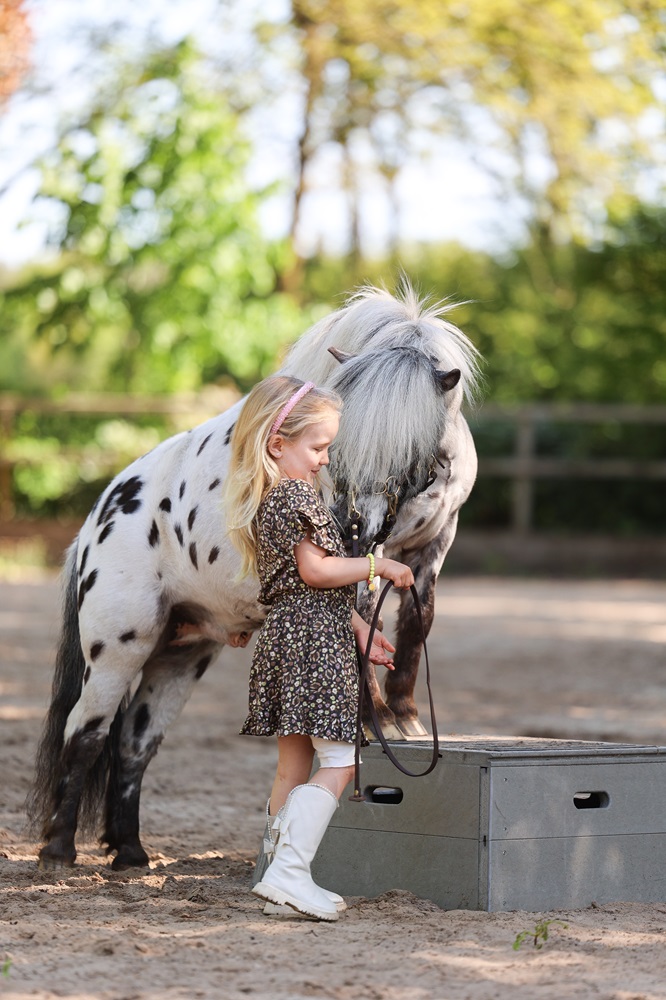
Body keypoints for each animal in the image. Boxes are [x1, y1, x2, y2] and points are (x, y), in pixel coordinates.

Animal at [27, 281, 481, 871]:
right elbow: (358, 626)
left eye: (409, 446)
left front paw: (404, 719)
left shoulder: (431, 546)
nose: (355, 522)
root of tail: (98, 517)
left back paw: (130, 853)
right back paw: (58, 851)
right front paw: (372, 719)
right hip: (117, 650)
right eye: (339, 443)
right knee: (85, 733)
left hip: (179, 655)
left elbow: (415, 628)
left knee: (132, 745)